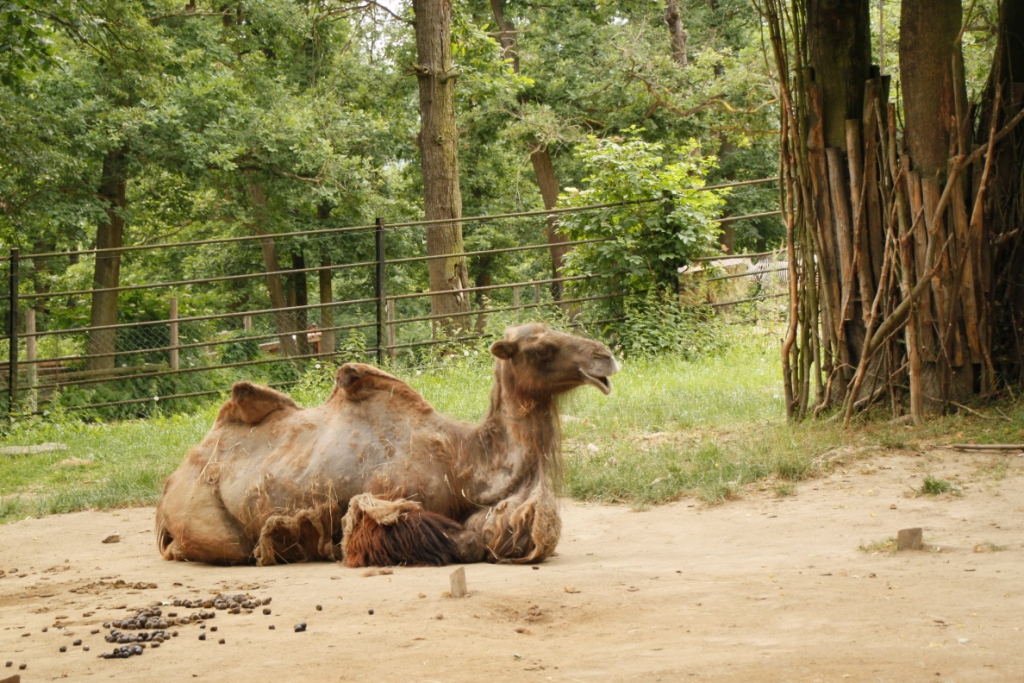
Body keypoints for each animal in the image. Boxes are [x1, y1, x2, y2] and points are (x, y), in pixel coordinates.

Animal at [151, 323, 614, 569]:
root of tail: (171, 481)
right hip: (208, 520)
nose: (604, 356)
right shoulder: (380, 504)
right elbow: (464, 542)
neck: (462, 461)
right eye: (542, 348)